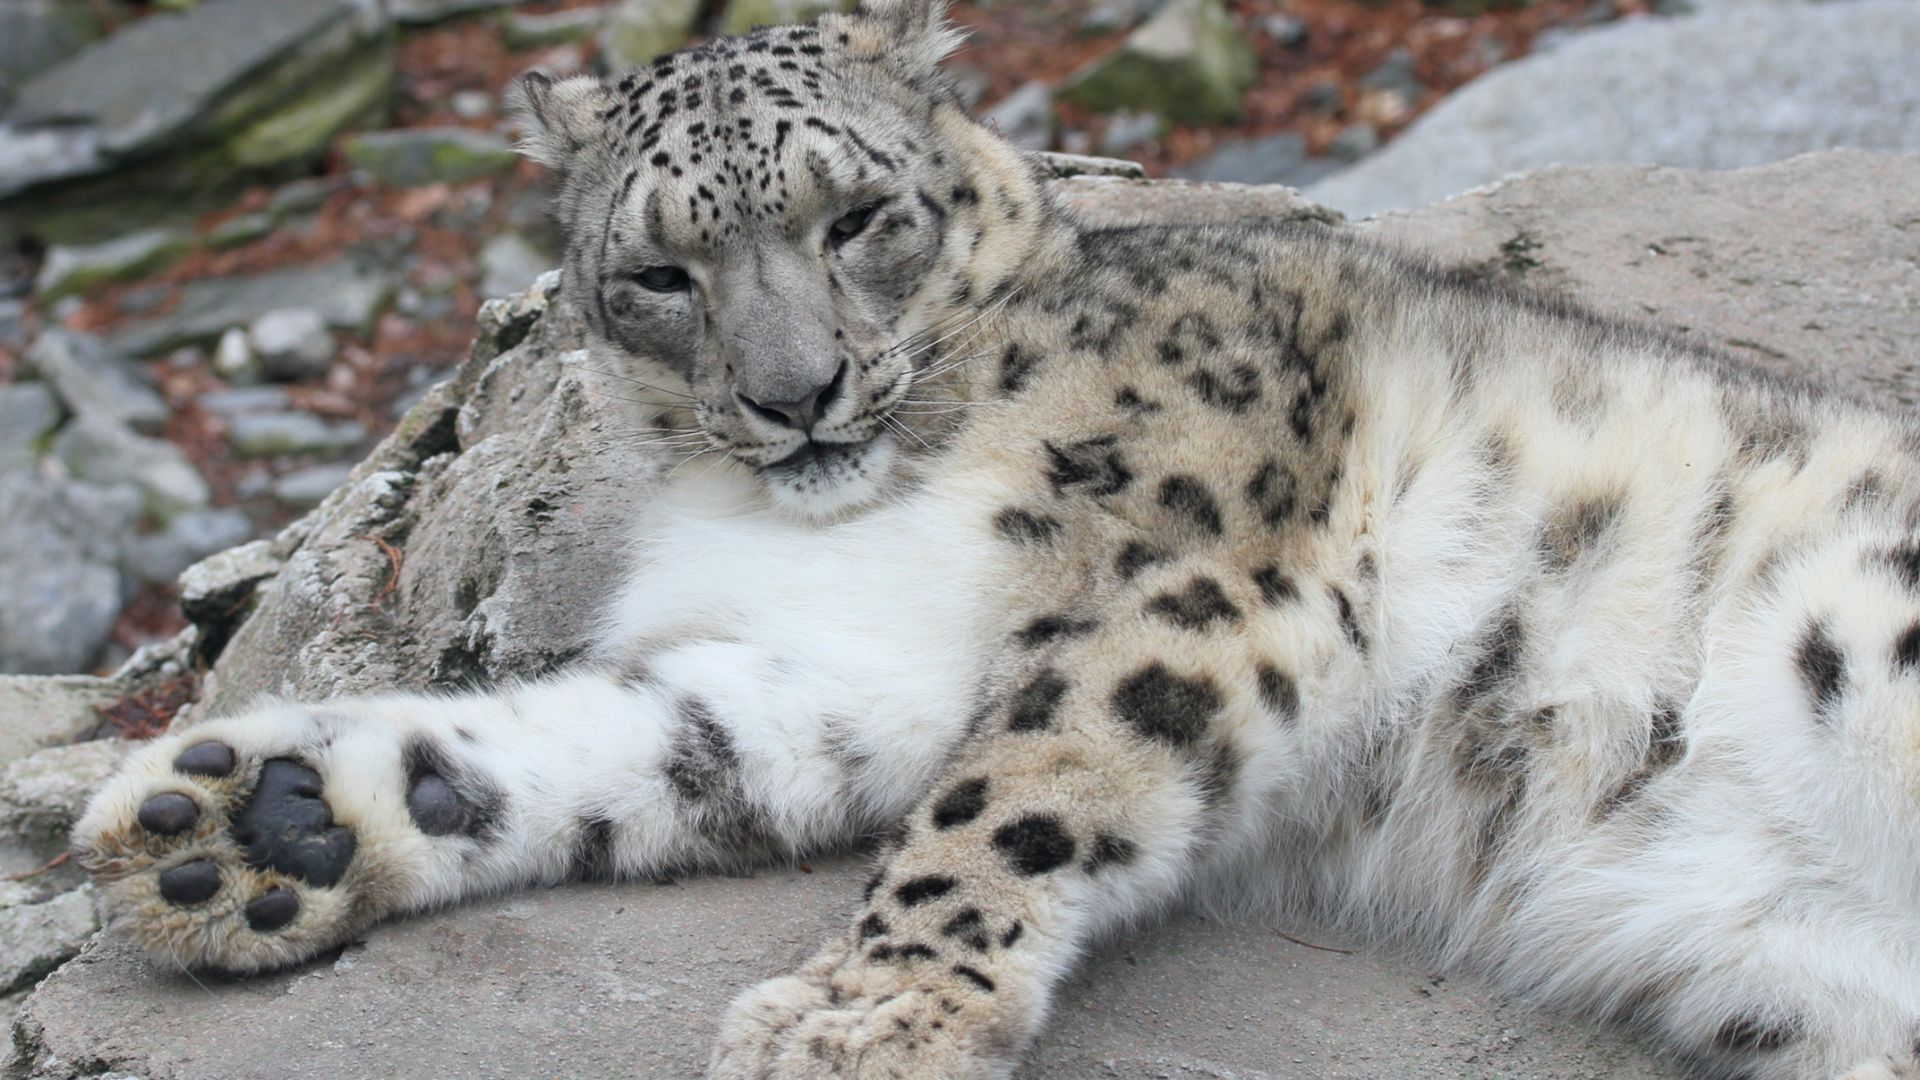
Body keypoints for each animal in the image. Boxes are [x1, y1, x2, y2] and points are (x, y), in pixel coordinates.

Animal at [68, 2, 1920, 1077]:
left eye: (858, 217)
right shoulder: (830, 673)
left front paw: (864, 1018)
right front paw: (265, 823)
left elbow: (1013, 795)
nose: (797, 395)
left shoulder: (1193, 574)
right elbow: (617, 750)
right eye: (658, 273)